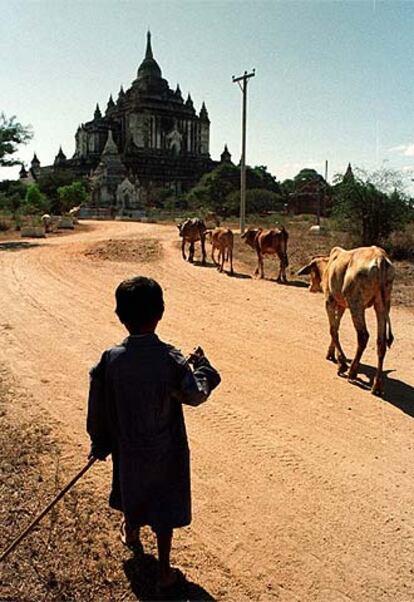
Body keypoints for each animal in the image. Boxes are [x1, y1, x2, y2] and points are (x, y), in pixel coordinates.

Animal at [298, 244, 394, 394]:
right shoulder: (342, 306)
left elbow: (332, 329)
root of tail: (380, 258)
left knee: (363, 336)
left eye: (312, 271)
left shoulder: (329, 301)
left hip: (356, 304)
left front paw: (341, 363)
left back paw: (352, 372)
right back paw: (377, 385)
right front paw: (331, 354)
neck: (329, 265)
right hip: (382, 305)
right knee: (381, 342)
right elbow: (336, 327)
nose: (310, 287)